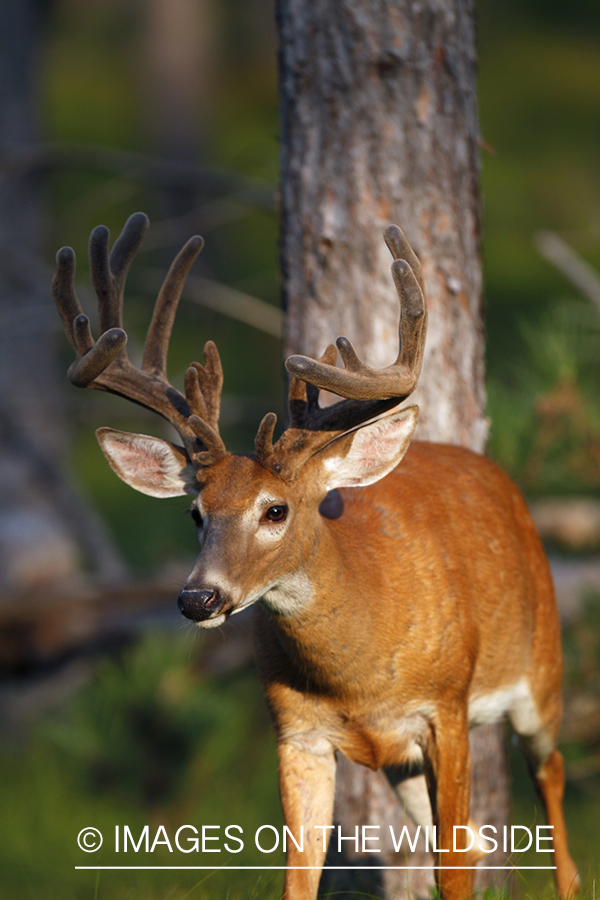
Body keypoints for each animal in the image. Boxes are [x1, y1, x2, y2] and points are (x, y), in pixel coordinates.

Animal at [54, 213, 580, 900]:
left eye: (275, 511)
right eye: (196, 514)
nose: (198, 597)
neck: (356, 673)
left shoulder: (446, 707)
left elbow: (456, 871)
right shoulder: (296, 731)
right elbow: (301, 877)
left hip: (539, 669)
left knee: (551, 773)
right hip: (407, 764)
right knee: (462, 833)